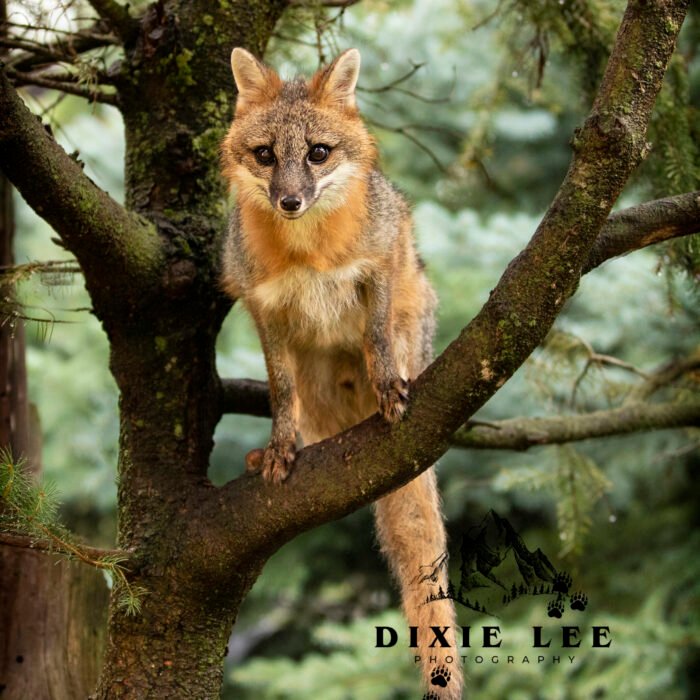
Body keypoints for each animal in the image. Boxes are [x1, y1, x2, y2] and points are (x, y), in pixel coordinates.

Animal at [220, 47, 463, 699]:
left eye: (318, 153)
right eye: (265, 155)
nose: (290, 201)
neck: (307, 252)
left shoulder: (377, 266)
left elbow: (376, 338)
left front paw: (389, 387)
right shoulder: (265, 310)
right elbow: (278, 393)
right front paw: (279, 446)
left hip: (413, 309)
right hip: (316, 379)